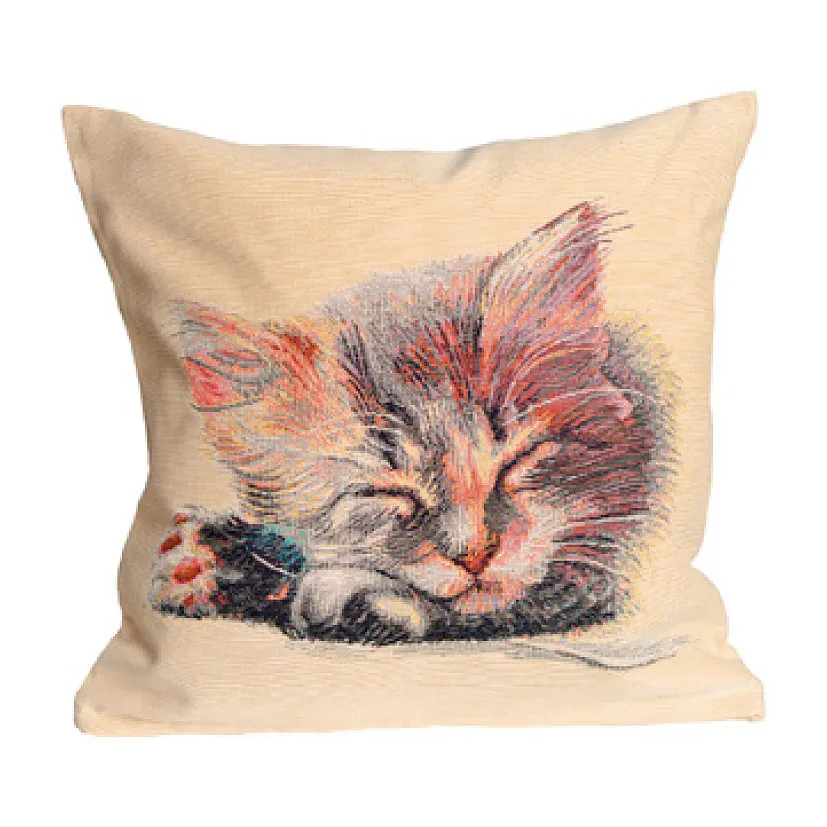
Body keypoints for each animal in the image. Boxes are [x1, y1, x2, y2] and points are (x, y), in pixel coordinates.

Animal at [149, 201, 671, 645]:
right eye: (388, 492)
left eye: (518, 460)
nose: (475, 554)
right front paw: (204, 558)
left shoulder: (593, 579)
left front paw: (355, 595)